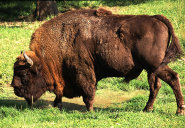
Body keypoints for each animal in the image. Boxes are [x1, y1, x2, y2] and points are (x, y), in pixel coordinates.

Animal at [10, 8, 184, 114]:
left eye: (24, 75)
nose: (15, 89)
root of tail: (157, 19)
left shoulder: (83, 72)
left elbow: (88, 91)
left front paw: (90, 110)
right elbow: (60, 93)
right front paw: (56, 105)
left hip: (156, 65)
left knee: (173, 78)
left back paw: (179, 110)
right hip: (151, 69)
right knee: (156, 86)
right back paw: (147, 109)